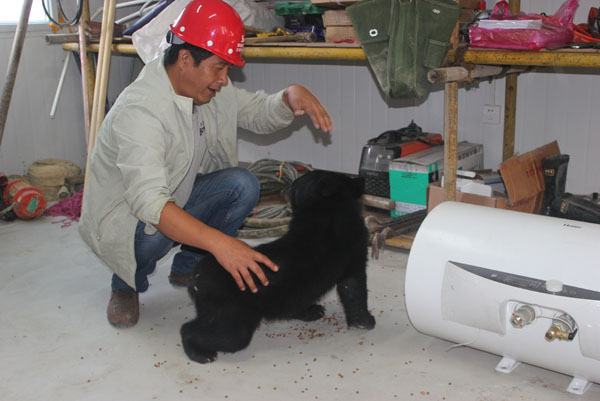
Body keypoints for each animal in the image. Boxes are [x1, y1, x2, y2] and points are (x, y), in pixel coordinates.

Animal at [181, 170, 376, 364]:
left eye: (296, 184)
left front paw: (310, 311)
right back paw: (200, 353)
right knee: (204, 332)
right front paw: (366, 321)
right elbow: (354, 289)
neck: (326, 207)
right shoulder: (354, 257)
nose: (284, 190)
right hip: (232, 315)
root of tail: (196, 277)